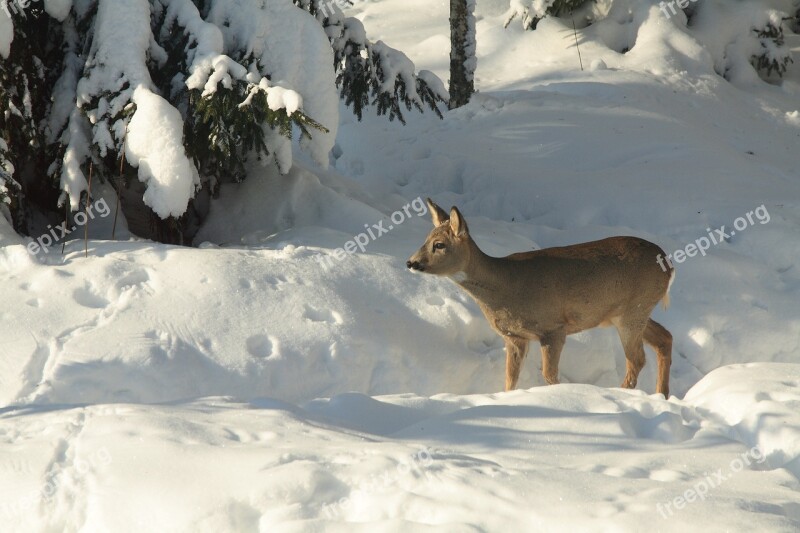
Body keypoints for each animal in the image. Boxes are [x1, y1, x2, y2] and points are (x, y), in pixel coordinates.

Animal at [406, 198, 676, 394]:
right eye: (425, 239)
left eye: (439, 244)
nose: (411, 262)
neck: (505, 286)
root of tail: (668, 264)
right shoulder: (515, 337)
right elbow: (510, 379)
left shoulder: (553, 328)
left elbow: (549, 375)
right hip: (631, 311)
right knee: (665, 338)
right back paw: (661, 395)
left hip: (633, 311)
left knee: (637, 359)